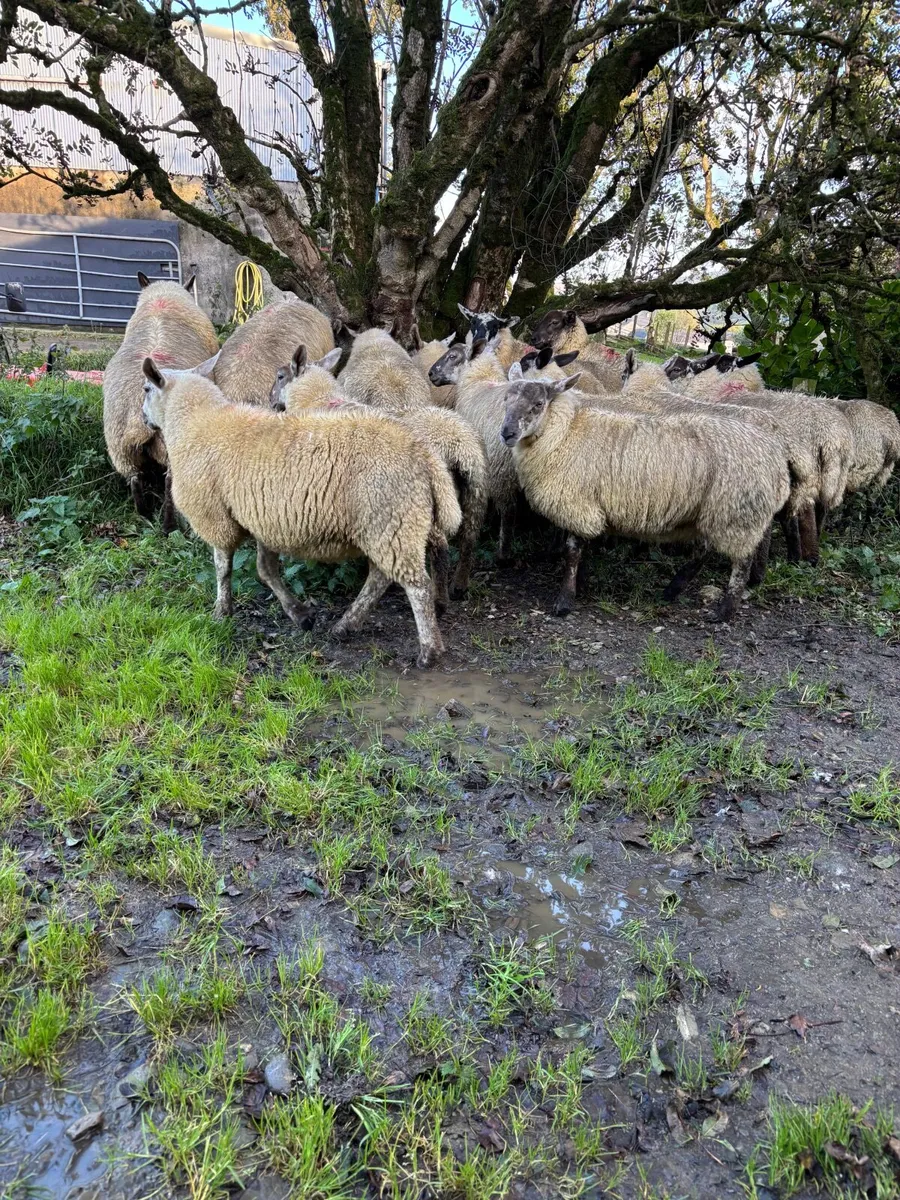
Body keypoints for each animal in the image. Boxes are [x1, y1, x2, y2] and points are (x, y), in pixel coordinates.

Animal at [103, 272, 218, 530]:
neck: (161, 300)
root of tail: (136, 415)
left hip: (120, 446)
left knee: (135, 479)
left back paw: (144, 516)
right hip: (169, 446)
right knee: (169, 484)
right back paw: (168, 526)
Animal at [140, 359, 461, 668]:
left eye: (145, 389)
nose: (143, 419)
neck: (198, 421)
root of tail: (424, 454)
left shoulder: (214, 516)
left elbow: (222, 569)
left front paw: (222, 611)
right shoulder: (263, 519)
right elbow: (266, 570)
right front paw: (300, 615)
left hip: (391, 520)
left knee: (417, 586)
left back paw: (429, 651)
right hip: (391, 524)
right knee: (382, 578)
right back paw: (346, 625)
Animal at [271, 344, 488, 601]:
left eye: (280, 376)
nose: (271, 402)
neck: (318, 399)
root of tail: (456, 443)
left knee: (440, 547)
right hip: (474, 490)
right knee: (469, 538)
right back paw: (458, 586)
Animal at [500, 364, 791, 621]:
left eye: (539, 404)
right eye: (505, 398)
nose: (507, 433)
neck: (565, 432)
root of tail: (778, 460)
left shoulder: (577, 504)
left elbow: (572, 552)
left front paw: (565, 601)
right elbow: (579, 550)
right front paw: (581, 584)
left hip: (737, 512)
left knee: (741, 561)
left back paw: (724, 612)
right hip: (714, 511)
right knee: (704, 551)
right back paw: (673, 590)